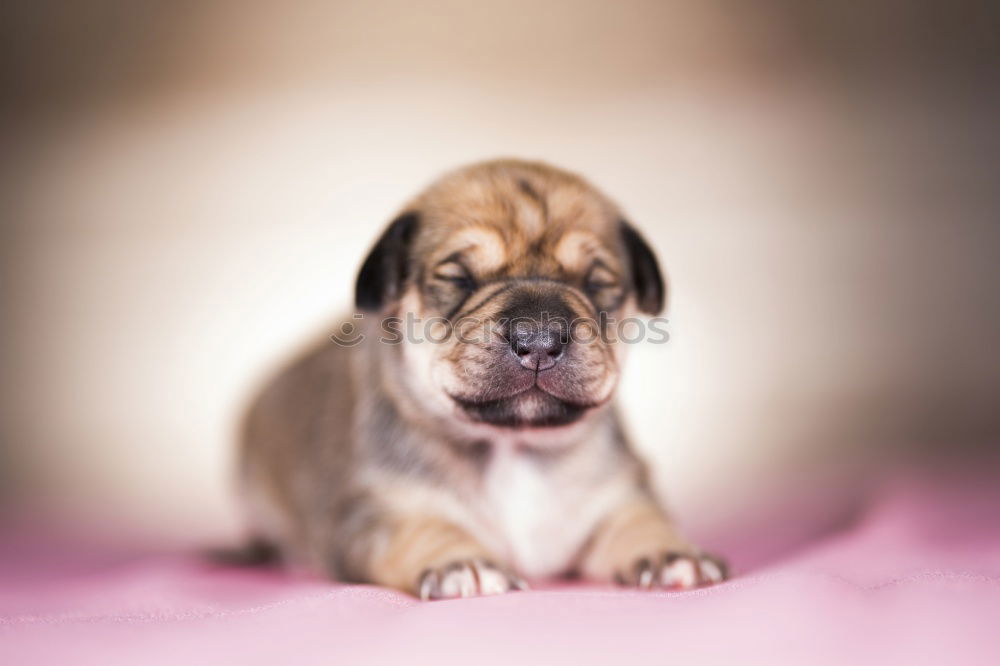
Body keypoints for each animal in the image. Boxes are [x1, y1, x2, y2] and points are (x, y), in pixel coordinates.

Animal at [242, 160, 728, 596]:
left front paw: (671, 552)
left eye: (595, 283)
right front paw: (462, 562)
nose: (539, 338)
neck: (513, 447)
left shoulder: (616, 495)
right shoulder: (376, 510)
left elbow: (637, 520)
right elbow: (421, 528)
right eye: (459, 278)